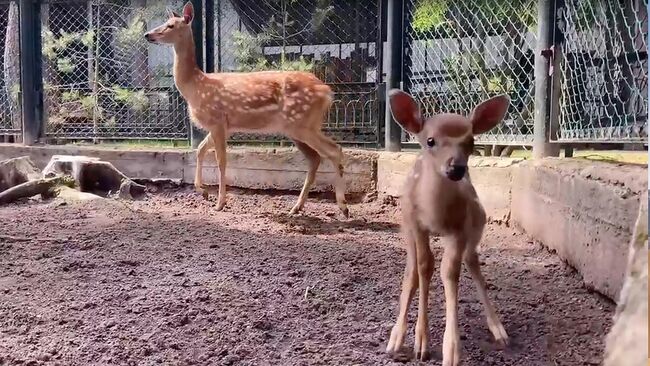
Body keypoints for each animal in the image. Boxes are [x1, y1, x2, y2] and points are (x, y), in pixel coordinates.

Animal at [145, 1, 350, 216]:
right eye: (164, 22)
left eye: (170, 25)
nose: (147, 35)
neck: (196, 86)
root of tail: (327, 92)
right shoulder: (224, 126)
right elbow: (200, 150)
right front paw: (203, 191)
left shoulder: (217, 120)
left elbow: (221, 160)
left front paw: (220, 202)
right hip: (296, 127)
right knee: (315, 158)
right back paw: (296, 207)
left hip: (302, 123)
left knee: (334, 150)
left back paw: (343, 206)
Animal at [384, 89, 506, 366]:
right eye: (430, 141)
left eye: (470, 142)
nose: (456, 167)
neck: (435, 215)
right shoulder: (417, 224)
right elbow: (424, 267)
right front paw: (421, 343)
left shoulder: (460, 227)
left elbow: (449, 272)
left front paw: (451, 350)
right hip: (406, 225)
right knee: (412, 269)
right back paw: (396, 338)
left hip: (477, 221)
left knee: (472, 261)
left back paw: (498, 329)